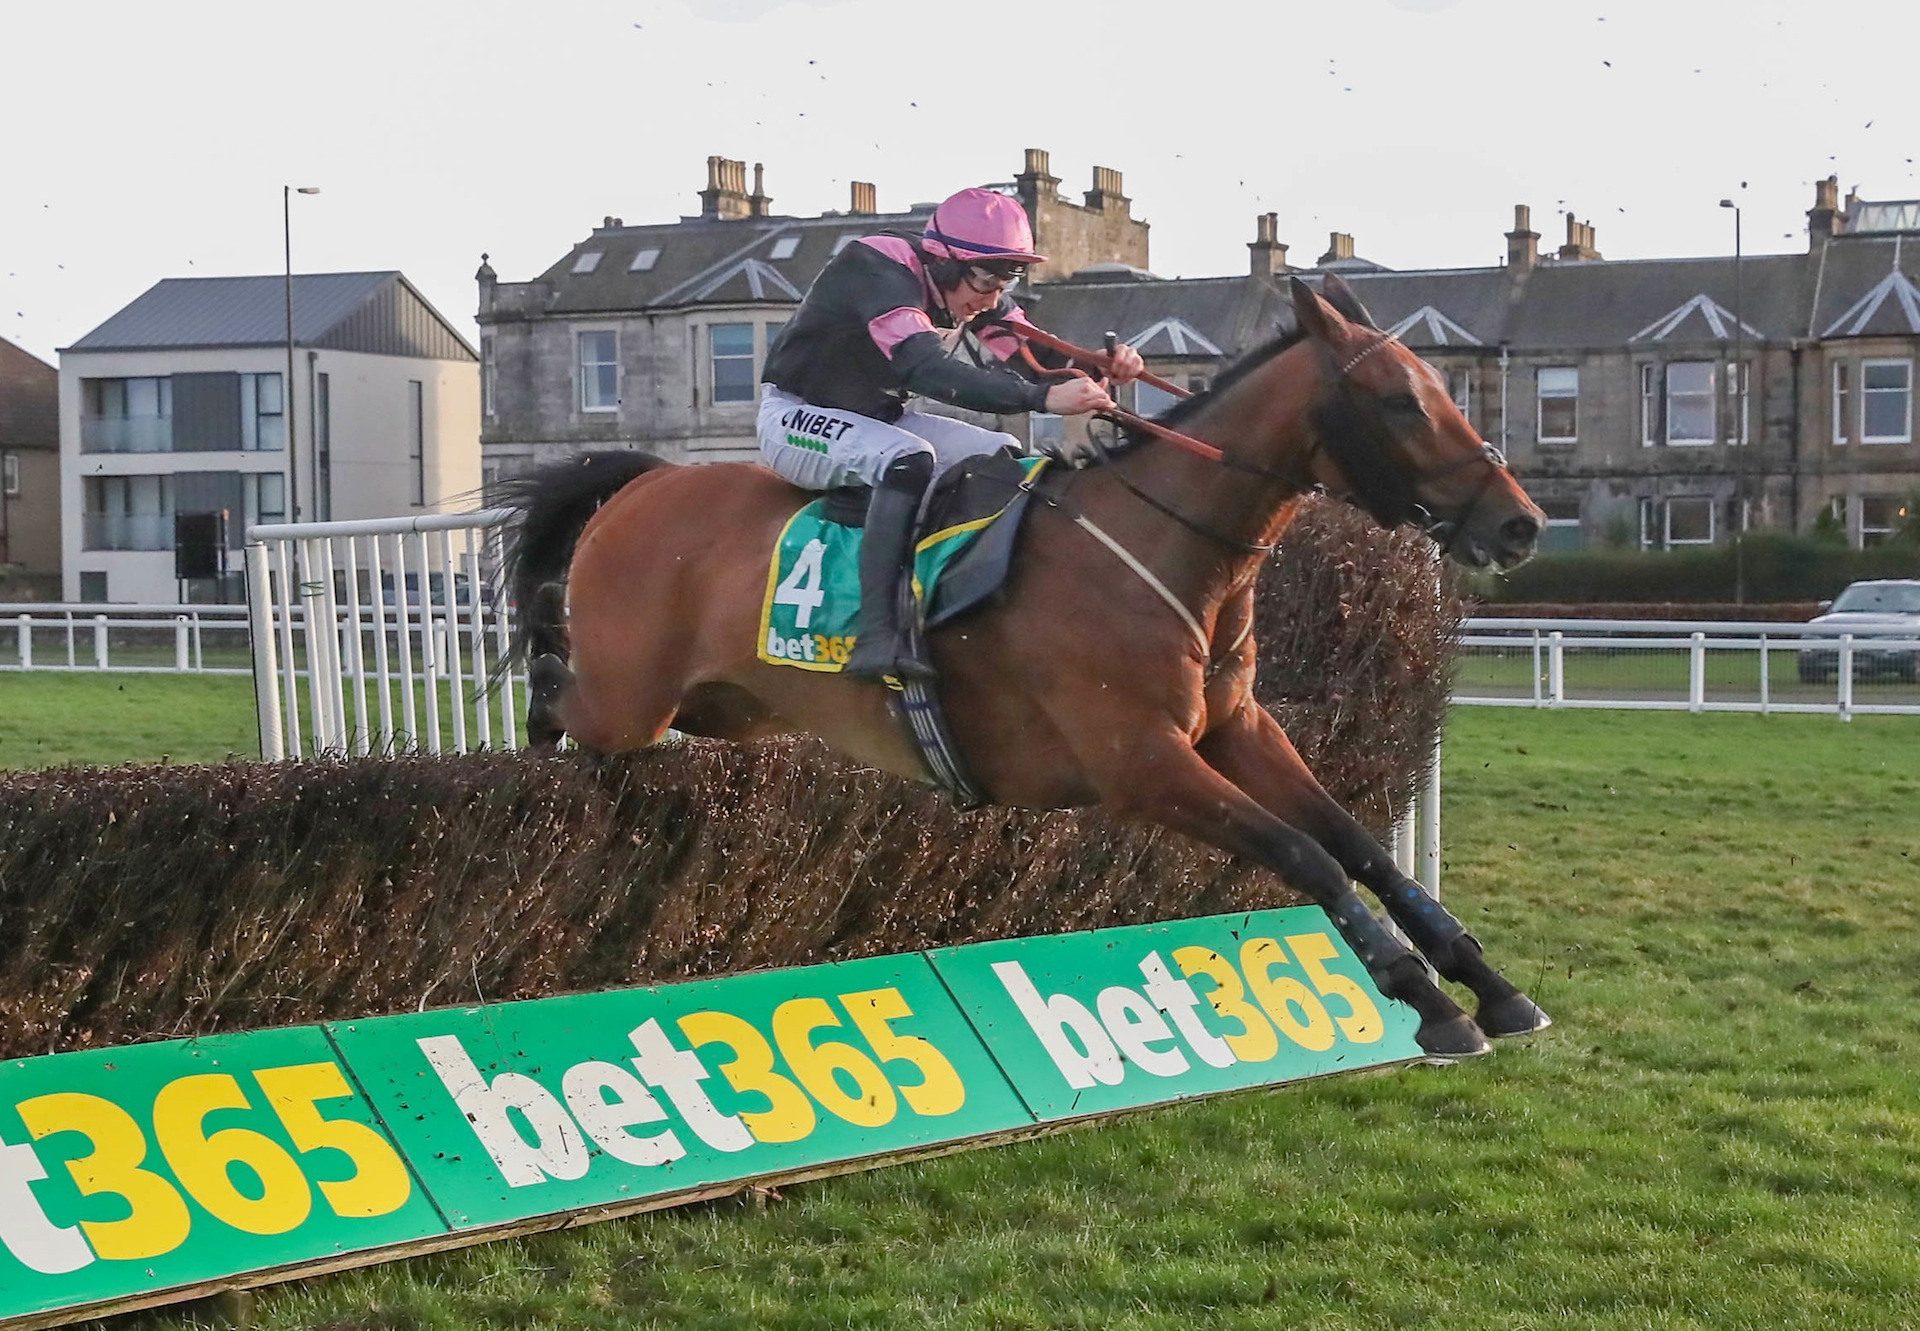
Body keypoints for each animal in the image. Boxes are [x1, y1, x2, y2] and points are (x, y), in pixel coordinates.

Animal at [499, 278, 1543, 1060]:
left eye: (1444, 387)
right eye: (1402, 401)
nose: (1519, 524)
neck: (1159, 547)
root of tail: (645, 480)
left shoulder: (1235, 728)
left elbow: (1360, 843)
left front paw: (1488, 985)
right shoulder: (1142, 764)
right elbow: (1306, 853)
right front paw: (1424, 998)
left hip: (729, 703)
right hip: (632, 695)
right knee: (552, 679)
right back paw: (541, 765)